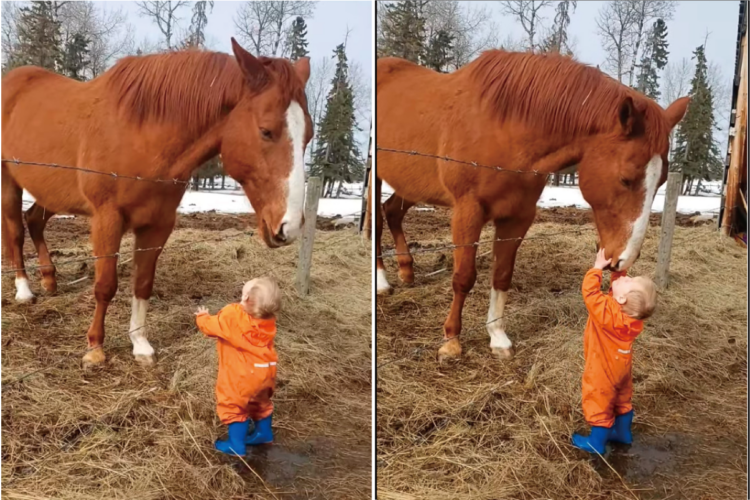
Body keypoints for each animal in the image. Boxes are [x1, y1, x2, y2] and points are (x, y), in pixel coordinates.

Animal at [2, 39, 312, 369]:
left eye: (309, 135)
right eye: (266, 131)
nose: (289, 226)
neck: (141, 136)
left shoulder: (158, 225)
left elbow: (142, 284)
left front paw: (140, 345)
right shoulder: (107, 219)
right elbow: (105, 285)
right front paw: (95, 347)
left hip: (52, 192)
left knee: (34, 220)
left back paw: (49, 280)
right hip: (10, 182)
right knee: (16, 230)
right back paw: (24, 289)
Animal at [376, 50, 689, 362]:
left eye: (661, 181)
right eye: (626, 179)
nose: (623, 259)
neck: (503, 128)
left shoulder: (518, 217)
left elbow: (502, 275)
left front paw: (498, 337)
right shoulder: (468, 211)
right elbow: (463, 277)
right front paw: (451, 341)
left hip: (411, 183)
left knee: (391, 212)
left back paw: (406, 272)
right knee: (375, 222)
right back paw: (382, 283)